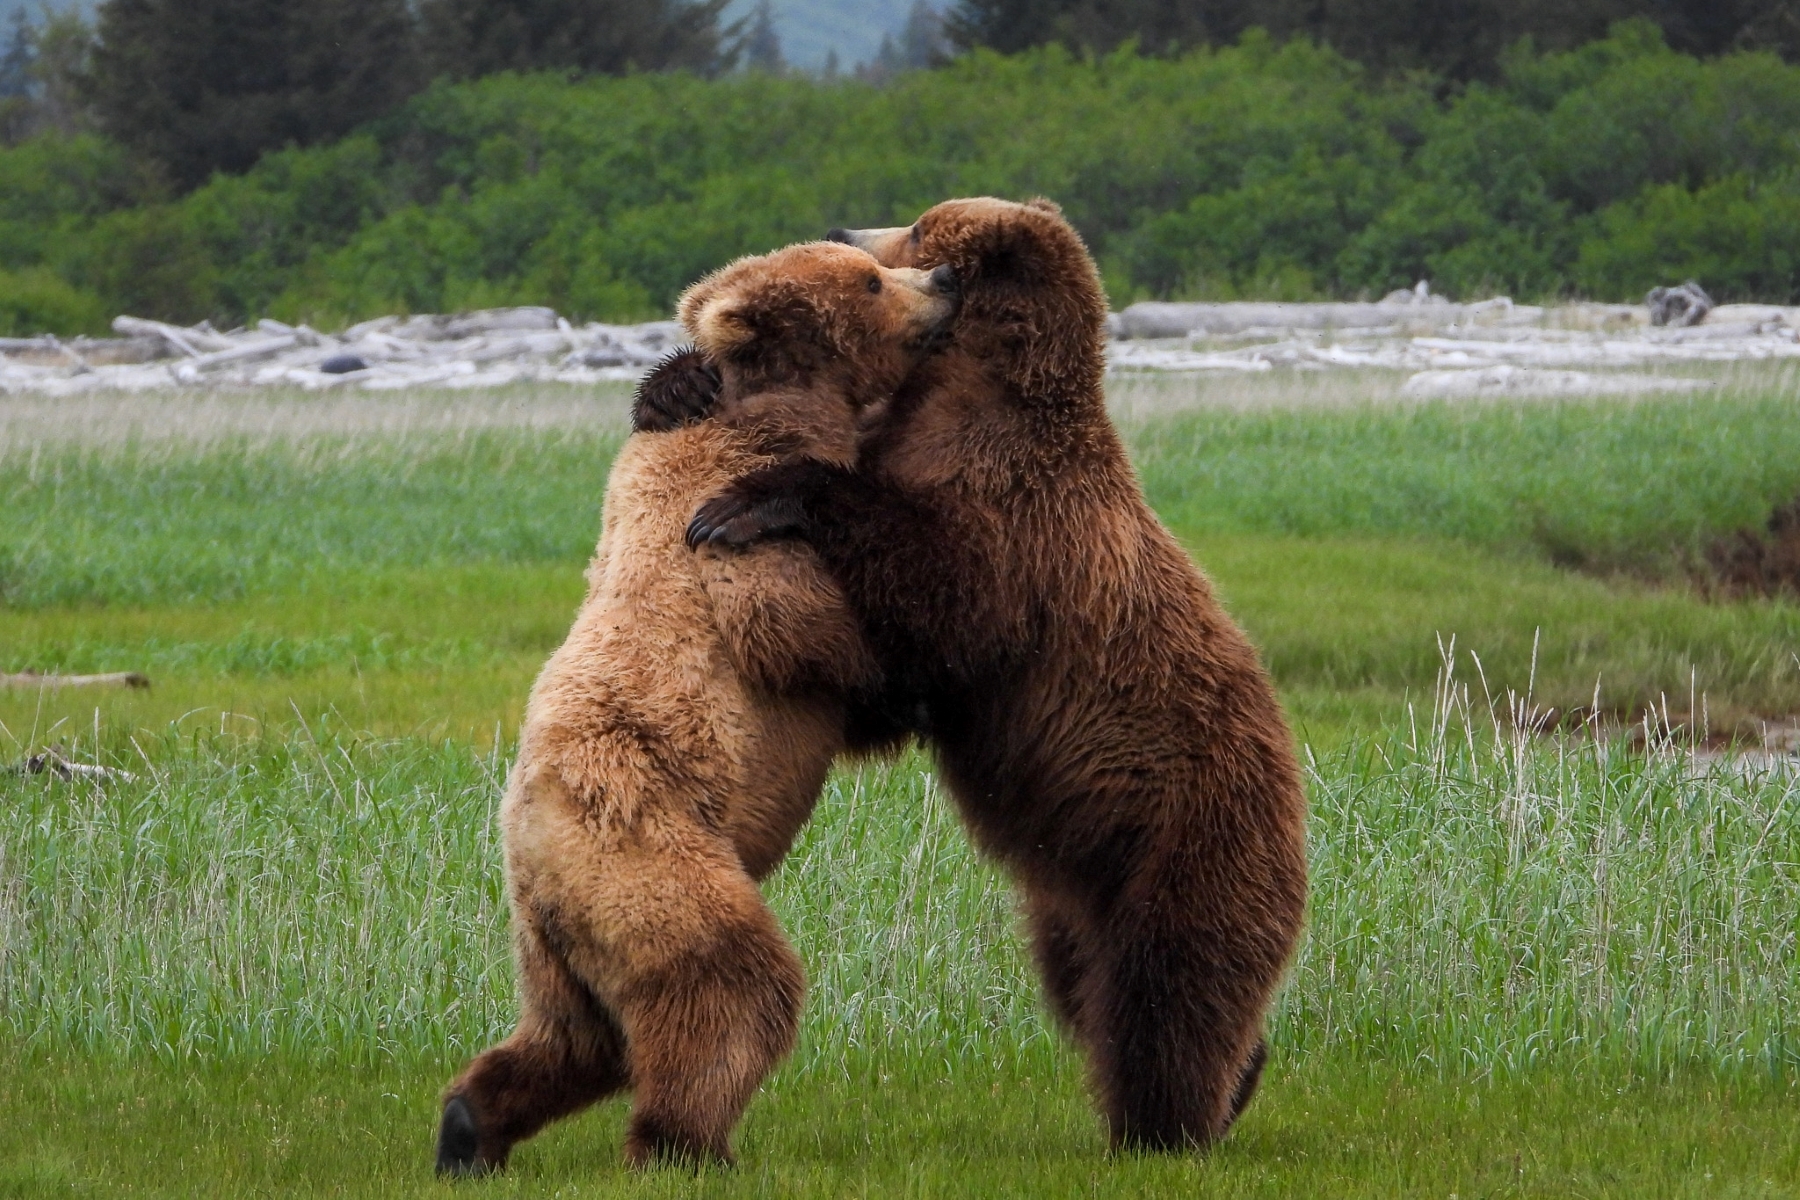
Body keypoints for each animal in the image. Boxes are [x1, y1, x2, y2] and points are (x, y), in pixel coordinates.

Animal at [437, 239, 964, 1180]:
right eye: (870, 279)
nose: (942, 280)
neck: (794, 407)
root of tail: (532, 858)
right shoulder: (727, 522)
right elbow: (802, 629)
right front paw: (905, 678)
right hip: (646, 847)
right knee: (726, 985)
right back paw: (685, 1143)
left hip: (556, 937)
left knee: (579, 1036)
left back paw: (469, 1125)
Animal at [687, 197, 1310, 1151]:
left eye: (917, 231)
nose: (845, 230)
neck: (961, 395)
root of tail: (1298, 797)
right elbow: (903, 677)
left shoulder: (1021, 528)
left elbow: (944, 593)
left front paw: (747, 500)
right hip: (1074, 892)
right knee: (1084, 986)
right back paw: (1238, 1077)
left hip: (1185, 838)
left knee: (1168, 991)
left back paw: (1163, 1124)